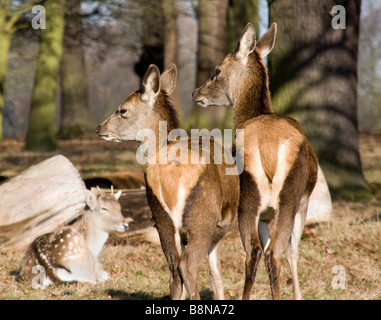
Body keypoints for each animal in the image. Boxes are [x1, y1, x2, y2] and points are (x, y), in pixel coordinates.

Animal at [95, 63, 238, 300]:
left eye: (122, 110)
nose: (99, 128)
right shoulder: (221, 226)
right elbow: (216, 275)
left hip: (161, 217)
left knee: (174, 270)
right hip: (202, 218)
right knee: (187, 267)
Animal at [193, 23, 318, 300]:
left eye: (217, 70)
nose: (195, 92)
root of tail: (268, 152)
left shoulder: (275, 211)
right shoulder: (299, 203)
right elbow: (292, 251)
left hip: (259, 202)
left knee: (259, 252)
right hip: (279, 200)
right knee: (269, 253)